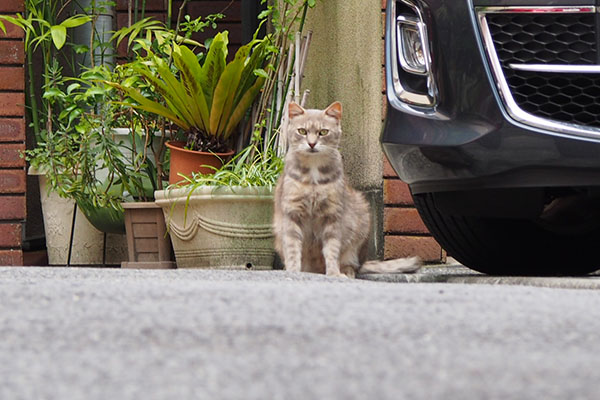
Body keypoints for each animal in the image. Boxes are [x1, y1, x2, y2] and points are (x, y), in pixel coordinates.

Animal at [274, 102, 422, 278]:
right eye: (302, 131)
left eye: (323, 132)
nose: (311, 144)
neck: (313, 174)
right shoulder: (292, 214)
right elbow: (292, 248)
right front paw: (294, 271)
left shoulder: (333, 215)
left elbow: (332, 249)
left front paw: (333, 273)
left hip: (361, 221)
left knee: (351, 265)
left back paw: (345, 273)